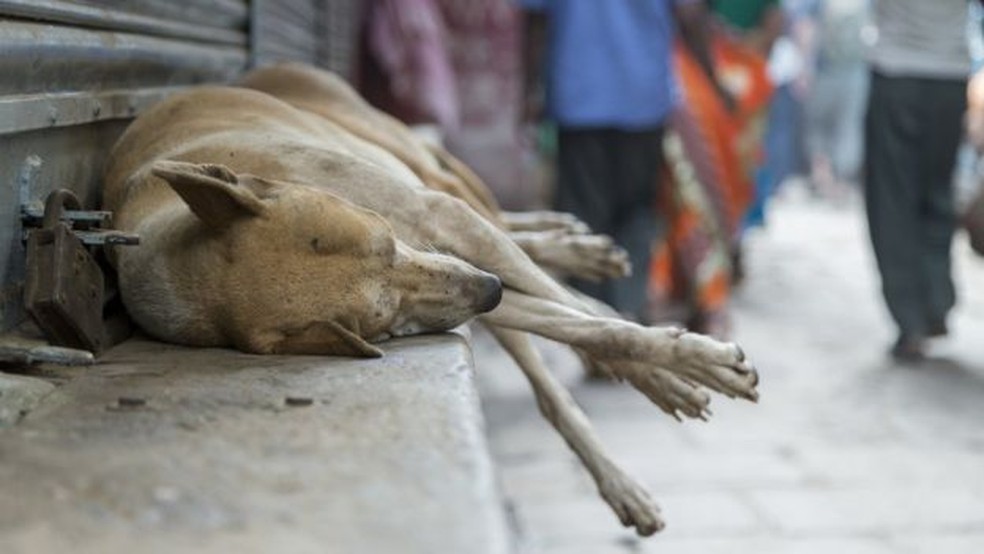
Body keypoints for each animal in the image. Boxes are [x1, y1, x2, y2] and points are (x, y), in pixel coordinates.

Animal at [104, 66, 756, 536]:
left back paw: (576, 250)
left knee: (502, 224)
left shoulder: (440, 227)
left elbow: (577, 313)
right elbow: (576, 323)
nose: (488, 293)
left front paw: (681, 367)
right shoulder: (446, 278)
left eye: (385, 241)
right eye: (382, 325)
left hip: (429, 168)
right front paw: (670, 365)